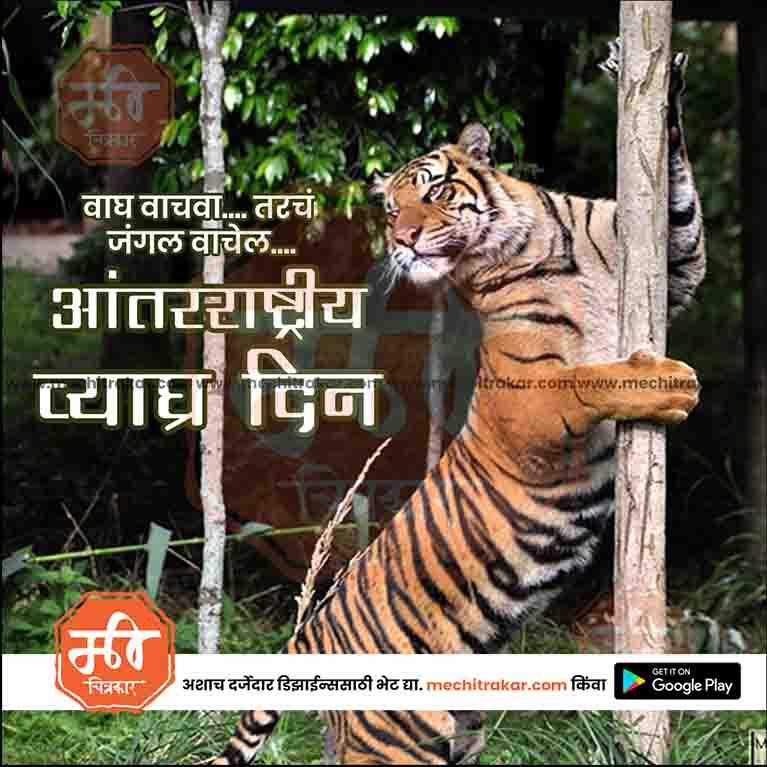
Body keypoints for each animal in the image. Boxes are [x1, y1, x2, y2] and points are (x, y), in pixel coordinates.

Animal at [213, 39, 705, 765]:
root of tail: (308, 639)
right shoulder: (527, 401)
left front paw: (655, 76)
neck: (545, 245)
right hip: (392, 740)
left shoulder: (672, 264)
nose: (403, 241)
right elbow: (591, 378)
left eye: (435, 191)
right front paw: (672, 384)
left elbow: (680, 198)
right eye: (391, 210)